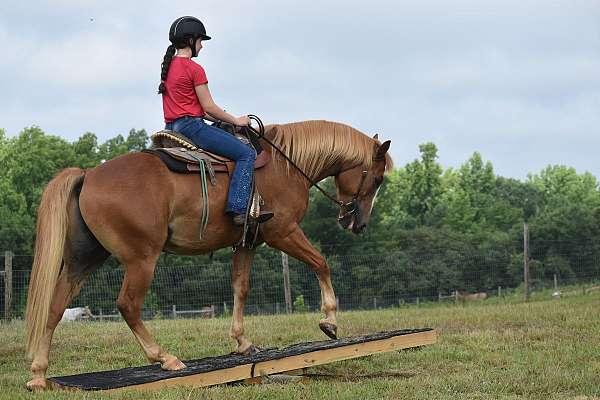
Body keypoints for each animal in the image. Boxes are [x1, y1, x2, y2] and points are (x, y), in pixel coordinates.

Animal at [24, 118, 394, 388]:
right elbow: (321, 263)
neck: (285, 166)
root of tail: (88, 175)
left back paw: (39, 374)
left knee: (55, 306)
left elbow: (240, 288)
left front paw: (242, 343)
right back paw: (165, 358)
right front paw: (329, 321)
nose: (358, 223)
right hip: (141, 258)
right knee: (128, 305)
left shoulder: (247, 242)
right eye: (376, 179)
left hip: (84, 258)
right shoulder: (283, 232)